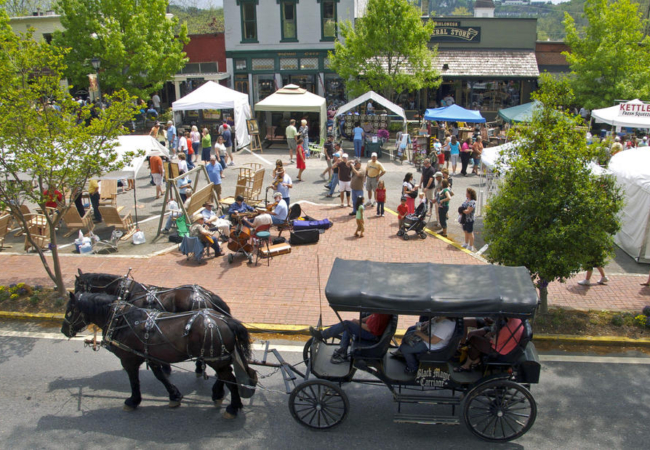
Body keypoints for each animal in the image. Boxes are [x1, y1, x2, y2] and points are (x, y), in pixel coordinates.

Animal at [59, 294, 254, 416]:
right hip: (218, 358)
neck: (121, 320)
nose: (63, 330)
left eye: (69, 311)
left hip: (216, 359)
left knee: (230, 378)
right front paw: (174, 396)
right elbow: (160, 376)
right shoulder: (150, 355)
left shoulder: (128, 359)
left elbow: (134, 380)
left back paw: (232, 407)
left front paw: (133, 401)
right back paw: (221, 396)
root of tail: (226, 320)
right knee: (227, 376)